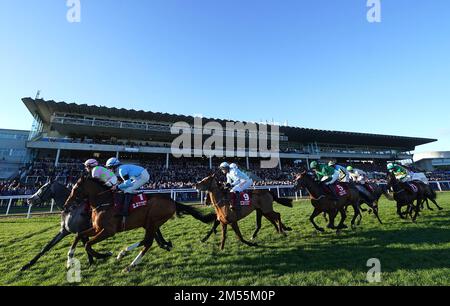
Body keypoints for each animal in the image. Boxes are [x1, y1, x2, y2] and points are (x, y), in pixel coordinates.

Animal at [19, 179, 174, 270]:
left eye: (42, 188)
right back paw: (163, 244)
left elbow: (86, 244)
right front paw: (27, 265)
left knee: (150, 238)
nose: (29, 200)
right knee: (152, 236)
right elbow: (46, 247)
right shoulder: (66, 231)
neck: (74, 208)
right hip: (147, 222)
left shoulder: (89, 229)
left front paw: (97, 258)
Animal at [64, 175, 216, 272]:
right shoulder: (96, 228)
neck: (104, 202)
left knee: (148, 242)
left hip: (152, 221)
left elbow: (88, 244)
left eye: (76, 189)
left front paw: (104, 254)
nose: (66, 205)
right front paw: (69, 260)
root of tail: (172, 201)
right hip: (149, 223)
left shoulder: (108, 231)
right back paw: (126, 253)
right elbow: (78, 235)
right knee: (148, 240)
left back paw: (130, 264)